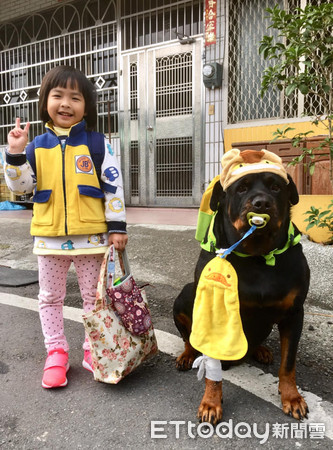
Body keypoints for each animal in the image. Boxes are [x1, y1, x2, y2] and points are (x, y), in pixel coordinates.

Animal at [174, 153, 308, 424]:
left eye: (276, 187)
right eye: (241, 188)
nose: (261, 203)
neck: (257, 256)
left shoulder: (294, 313)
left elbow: (288, 363)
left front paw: (292, 397)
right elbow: (212, 374)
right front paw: (211, 402)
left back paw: (261, 350)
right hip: (183, 297)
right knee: (189, 339)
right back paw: (187, 355)